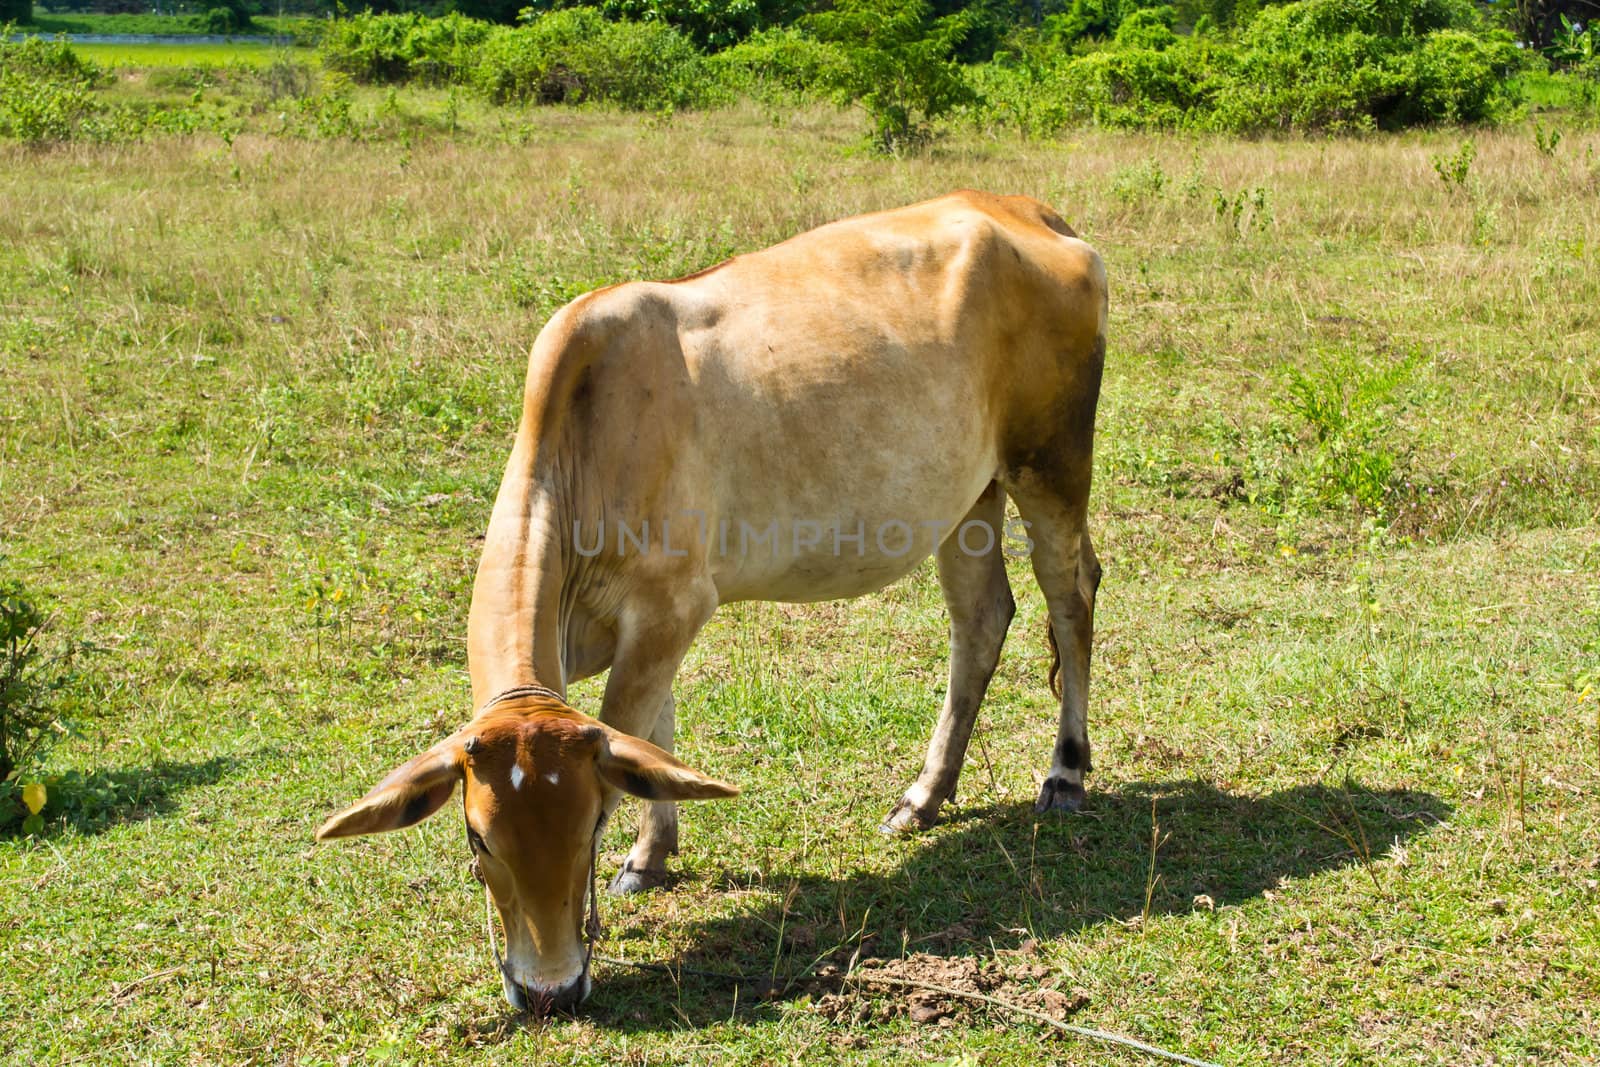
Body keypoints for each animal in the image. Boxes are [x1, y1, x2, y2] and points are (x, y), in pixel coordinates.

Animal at [316, 187, 1107, 1017]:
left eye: (589, 826)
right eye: (478, 837)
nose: (547, 989)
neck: (582, 446)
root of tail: (1024, 209)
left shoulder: (673, 605)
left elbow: (634, 730)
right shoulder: (646, 624)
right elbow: (649, 735)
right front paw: (651, 856)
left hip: (1051, 462)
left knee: (1071, 596)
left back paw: (1065, 772)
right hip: (966, 497)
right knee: (981, 618)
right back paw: (924, 795)